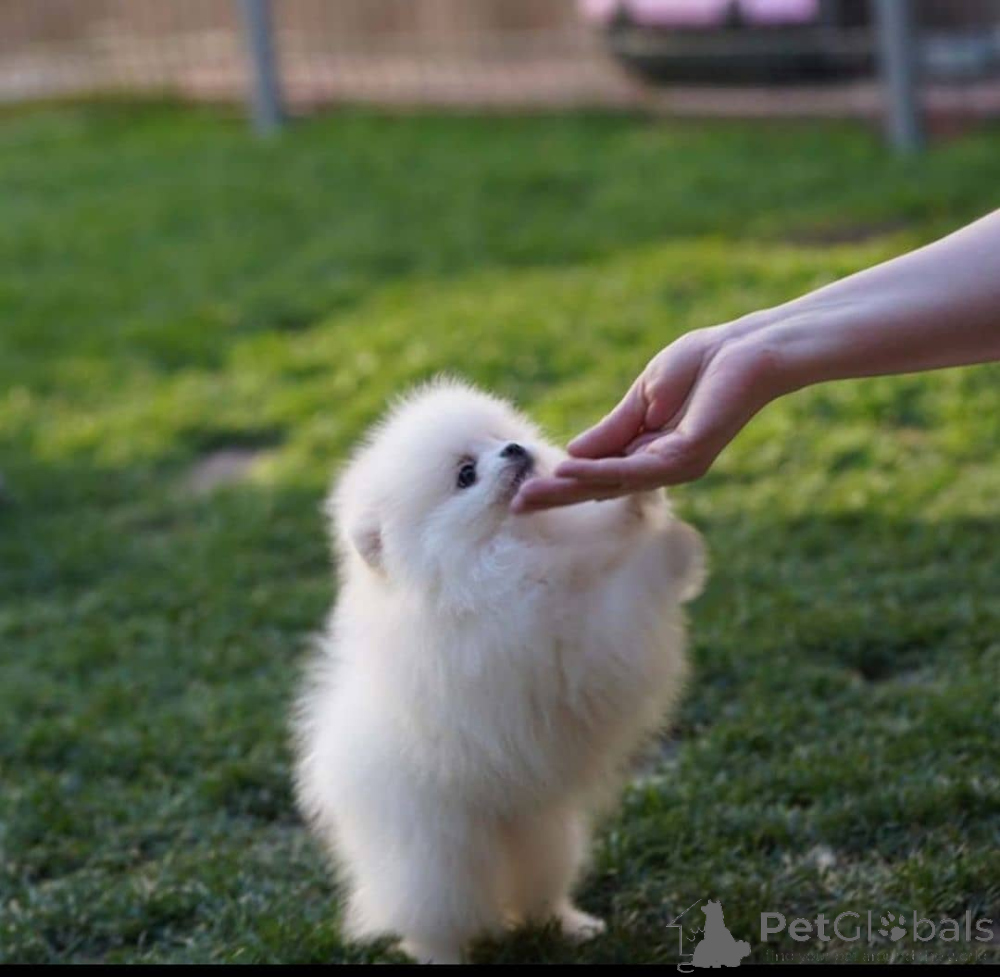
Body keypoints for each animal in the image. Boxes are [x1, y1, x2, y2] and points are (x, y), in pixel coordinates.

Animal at [293, 379, 705, 963]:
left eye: (496, 437)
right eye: (465, 474)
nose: (514, 450)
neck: (504, 548)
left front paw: (638, 498)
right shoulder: (555, 640)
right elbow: (614, 604)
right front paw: (666, 535)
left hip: (543, 832)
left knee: (538, 889)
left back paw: (572, 926)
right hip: (437, 857)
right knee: (433, 917)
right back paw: (443, 956)